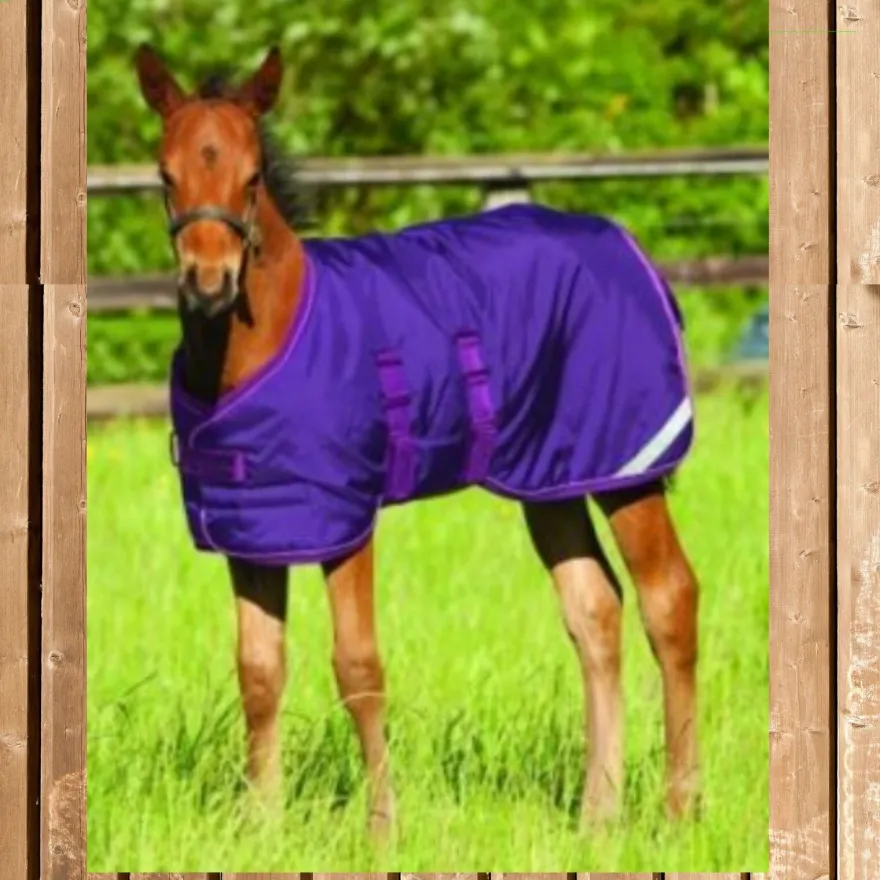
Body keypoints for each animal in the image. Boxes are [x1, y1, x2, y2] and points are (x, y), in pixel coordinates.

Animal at [134, 43, 701, 838]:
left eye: (251, 177)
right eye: (165, 174)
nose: (208, 283)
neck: (260, 342)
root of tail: (629, 248)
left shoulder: (344, 516)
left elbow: (358, 668)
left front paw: (382, 829)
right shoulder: (255, 528)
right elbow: (259, 670)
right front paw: (260, 826)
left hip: (625, 466)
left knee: (668, 598)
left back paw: (679, 809)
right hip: (550, 478)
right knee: (595, 609)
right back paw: (598, 816)